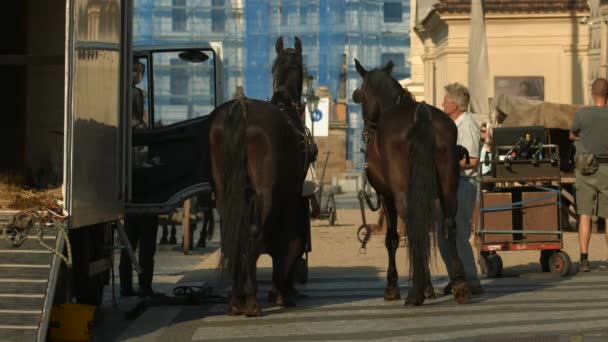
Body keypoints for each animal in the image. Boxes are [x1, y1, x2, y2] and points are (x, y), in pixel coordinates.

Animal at [210, 36, 314, 316]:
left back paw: (236, 299)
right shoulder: (290, 196)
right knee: (254, 234)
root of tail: (240, 108)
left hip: (224, 193)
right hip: (265, 194)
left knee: (233, 233)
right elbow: (285, 242)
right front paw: (282, 291)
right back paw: (251, 298)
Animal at [352, 60, 470, 306]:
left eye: (362, 93)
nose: (366, 131)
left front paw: (393, 286)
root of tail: (421, 115)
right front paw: (428, 286)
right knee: (448, 227)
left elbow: (392, 238)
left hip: (402, 196)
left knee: (414, 232)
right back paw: (459, 283)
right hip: (448, 190)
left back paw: (415, 293)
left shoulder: (387, 197)